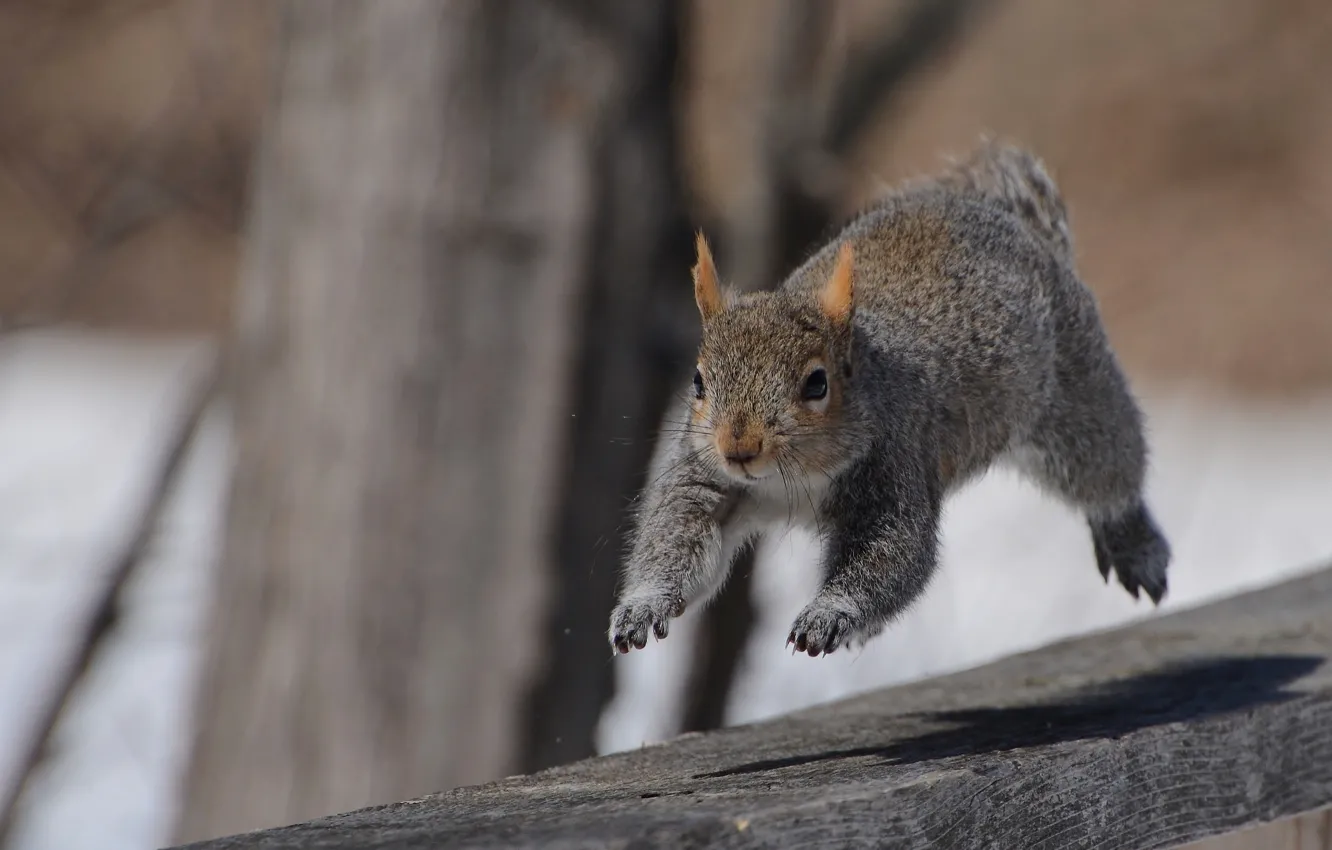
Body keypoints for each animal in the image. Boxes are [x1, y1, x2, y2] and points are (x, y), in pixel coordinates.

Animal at [610, 139, 1172, 660]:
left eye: (817, 384)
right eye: (698, 382)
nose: (739, 449)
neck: (790, 483)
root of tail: (1011, 221)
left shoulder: (894, 470)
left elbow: (893, 557)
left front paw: (829, 615)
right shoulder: (703, 480)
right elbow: (675, 538)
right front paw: (642, 606)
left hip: (1076, 400)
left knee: (1109, 475)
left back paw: (1135, 543)